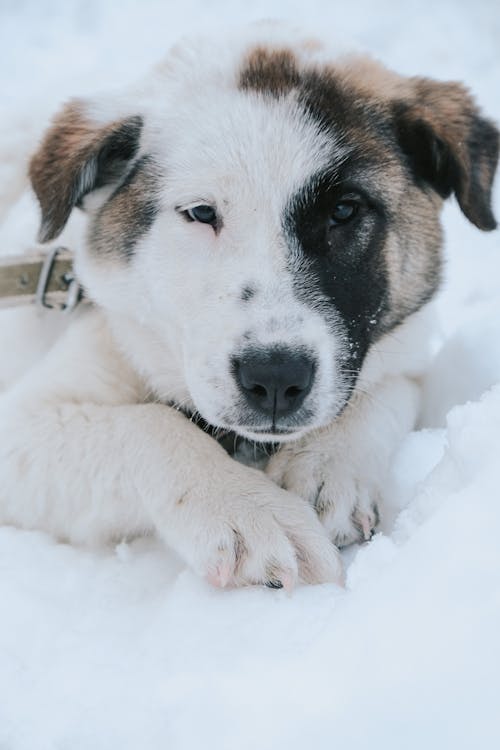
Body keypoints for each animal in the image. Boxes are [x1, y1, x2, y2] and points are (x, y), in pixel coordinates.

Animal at [0, 26, 498, 592]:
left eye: (344, 210)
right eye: (201, 213)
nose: (276, 377)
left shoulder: (406, 350)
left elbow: (384, 396)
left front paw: (326, 468)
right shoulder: (23, 422)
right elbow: (147, 425)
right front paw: (252, 513)